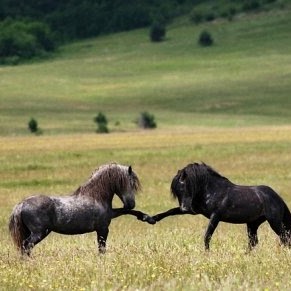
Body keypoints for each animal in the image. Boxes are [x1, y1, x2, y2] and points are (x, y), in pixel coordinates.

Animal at [9, 163, 155, 256]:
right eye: (130, 183)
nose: (131, 204)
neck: (95, 196)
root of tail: (21, 205)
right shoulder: (103, 228)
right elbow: (102, 249)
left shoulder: (111, 215)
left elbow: (126, 212)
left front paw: (148, 218)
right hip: (39, 233)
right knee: (26, 246)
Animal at [153, 163, 291, 252]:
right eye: (176, 191)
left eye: (186, 187)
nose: (185, 208)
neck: (213, 190)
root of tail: (277, 198)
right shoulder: (196, 211)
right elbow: (171, 211)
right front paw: (151, 219)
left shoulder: (215, 216)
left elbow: (207, 235)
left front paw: (207, 253)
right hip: (252, 224)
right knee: (254, 242)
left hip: (274, 222)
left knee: (284, 237)